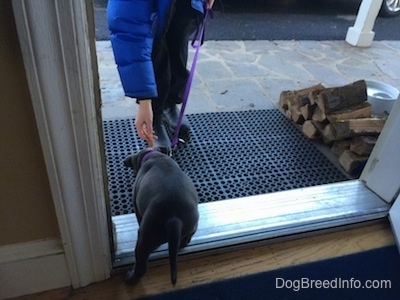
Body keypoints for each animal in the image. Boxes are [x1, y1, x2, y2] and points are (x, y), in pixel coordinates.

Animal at [124, 148, 199, 286]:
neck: (155, 155)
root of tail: (174, 219)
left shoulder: (135, 202)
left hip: (146, 238)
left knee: (141, 265)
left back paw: (130, 278)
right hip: (192, 224)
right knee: (187, 238)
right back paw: (183, 243)